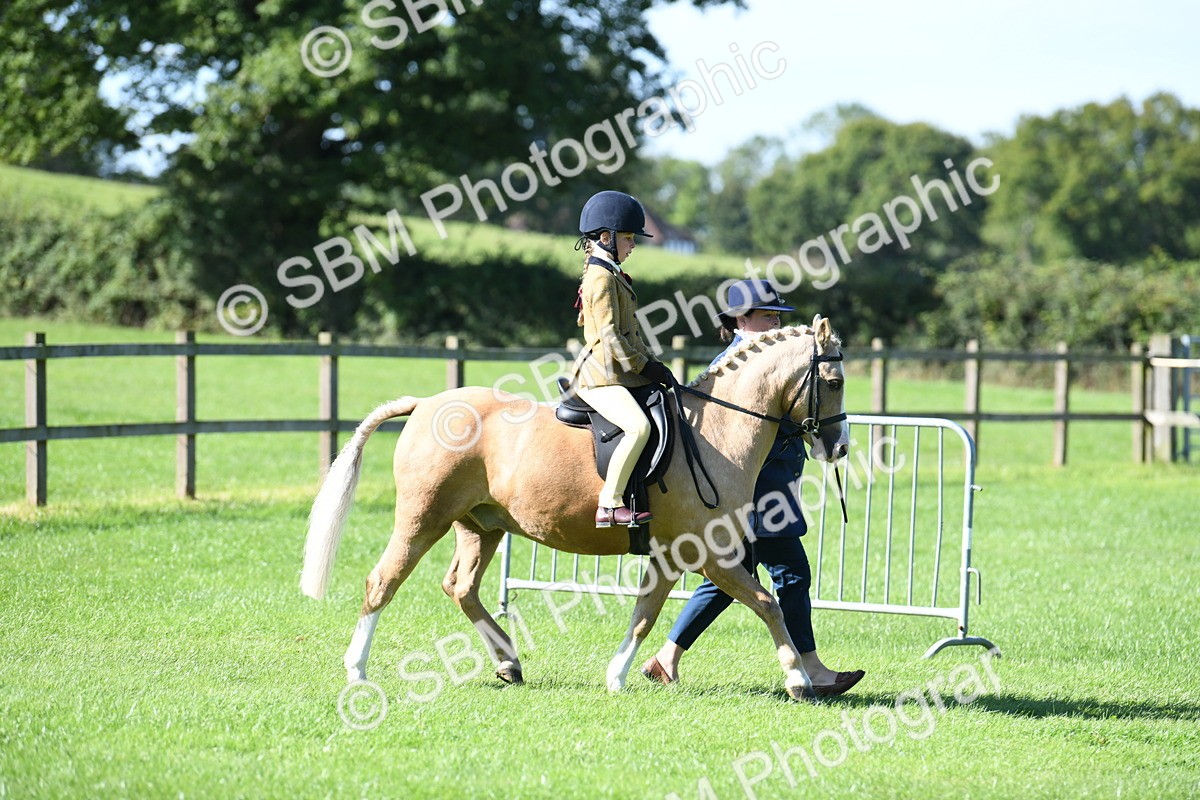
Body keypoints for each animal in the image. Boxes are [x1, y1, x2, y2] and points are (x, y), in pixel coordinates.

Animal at [300, 316, 848, 701]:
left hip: (481, 526)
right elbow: (767, 603)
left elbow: (645, 613)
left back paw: (508, 662)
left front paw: (617, 676)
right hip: (422, 519)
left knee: (461, 587)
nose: (839, 448)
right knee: (382, 582)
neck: (713, 431)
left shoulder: (672, 557)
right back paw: (357, 671)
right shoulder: (709, 555)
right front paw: (798, 680)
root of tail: (425, 404)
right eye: (835, 381)